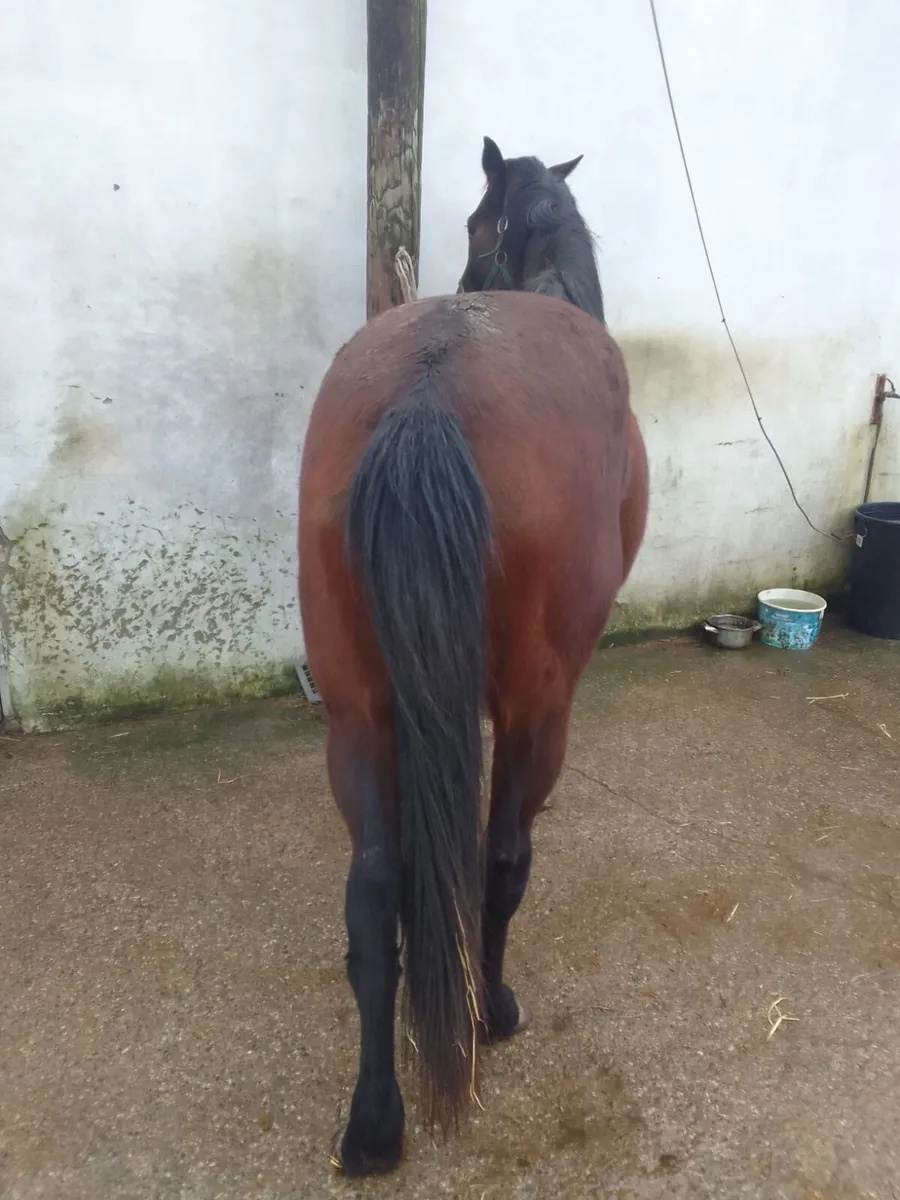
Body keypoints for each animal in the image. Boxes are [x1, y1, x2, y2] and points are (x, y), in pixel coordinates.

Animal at [297, 136, 648, 1176]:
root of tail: (430, 388)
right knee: (502, 859)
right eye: (474, 222)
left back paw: (375, 1121)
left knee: (374, 892)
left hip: (360, 714)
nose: (459, 278)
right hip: (538, 711)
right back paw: (488, 1009)